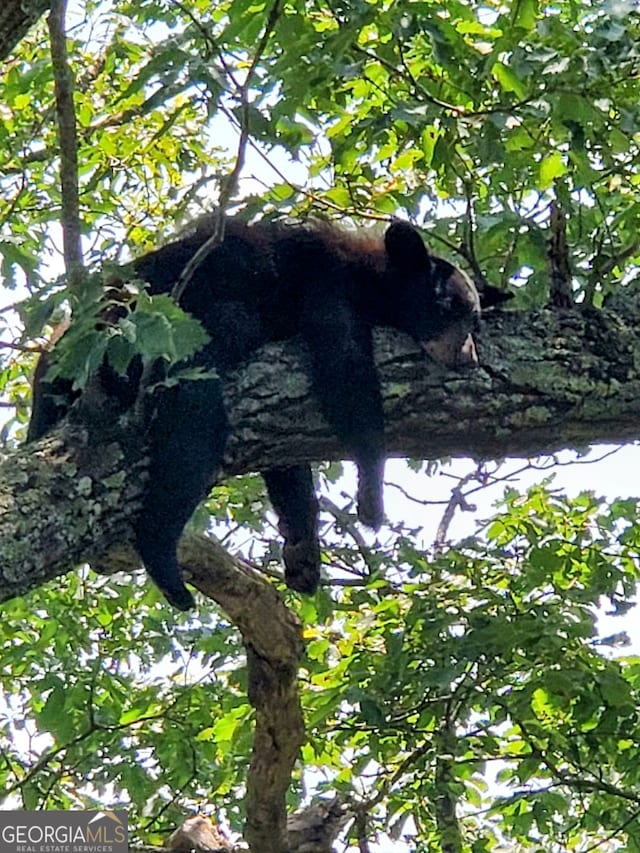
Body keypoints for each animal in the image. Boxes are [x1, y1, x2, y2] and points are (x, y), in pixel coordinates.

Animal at [27, 216, 504, 608]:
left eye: (475, 319)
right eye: (446, 306)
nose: (468, 358)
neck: (366, 275)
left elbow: (288, 460)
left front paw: (302, 546)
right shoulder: (324, 286)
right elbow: (343, 367)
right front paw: (371, 496)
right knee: (195, 424)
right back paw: (162, 556)